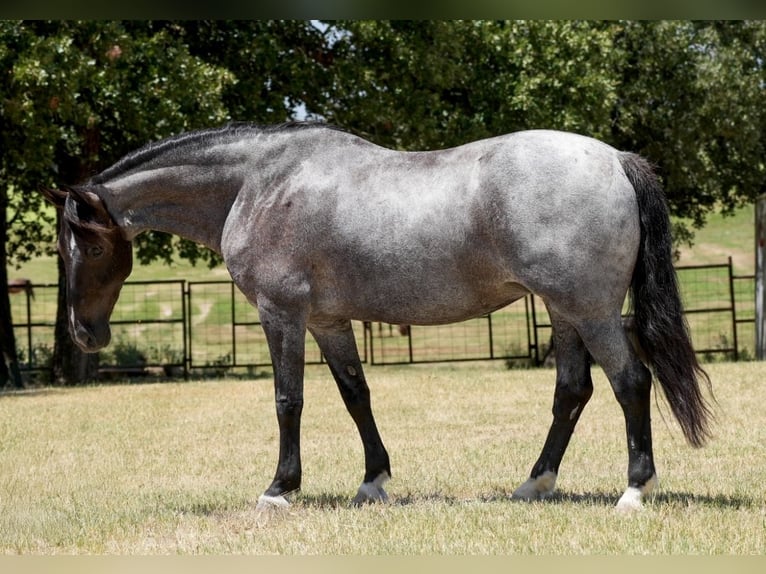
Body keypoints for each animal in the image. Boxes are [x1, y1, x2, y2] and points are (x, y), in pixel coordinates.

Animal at [41, 122, 713, 512]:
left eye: (90, 248)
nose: (85, 334)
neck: (257, 182)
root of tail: (614, 159)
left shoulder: (282, 314)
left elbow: (289, 401)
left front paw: (280, 490)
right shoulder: (328, 322)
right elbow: (354, 395)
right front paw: (373, 481)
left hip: (589, 311)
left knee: (631, 383)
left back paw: (635, 490)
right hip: (562, 311)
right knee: (572, 391)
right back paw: (534, 486)